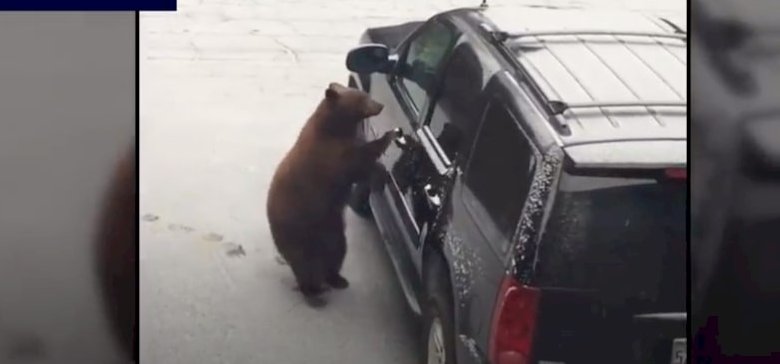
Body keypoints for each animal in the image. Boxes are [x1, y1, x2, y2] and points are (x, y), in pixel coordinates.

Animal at [268, 82, 400, 304]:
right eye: (364, 98)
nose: (380, 104)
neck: (335, 127)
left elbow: (365, 166)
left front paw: (381, 176)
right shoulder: (329, 155)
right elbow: (359, 160)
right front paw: (389, 135)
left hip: (333, 230)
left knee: (337, 252)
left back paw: (337, 279)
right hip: (297, 232)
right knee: (304, 265)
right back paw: (314, 293)